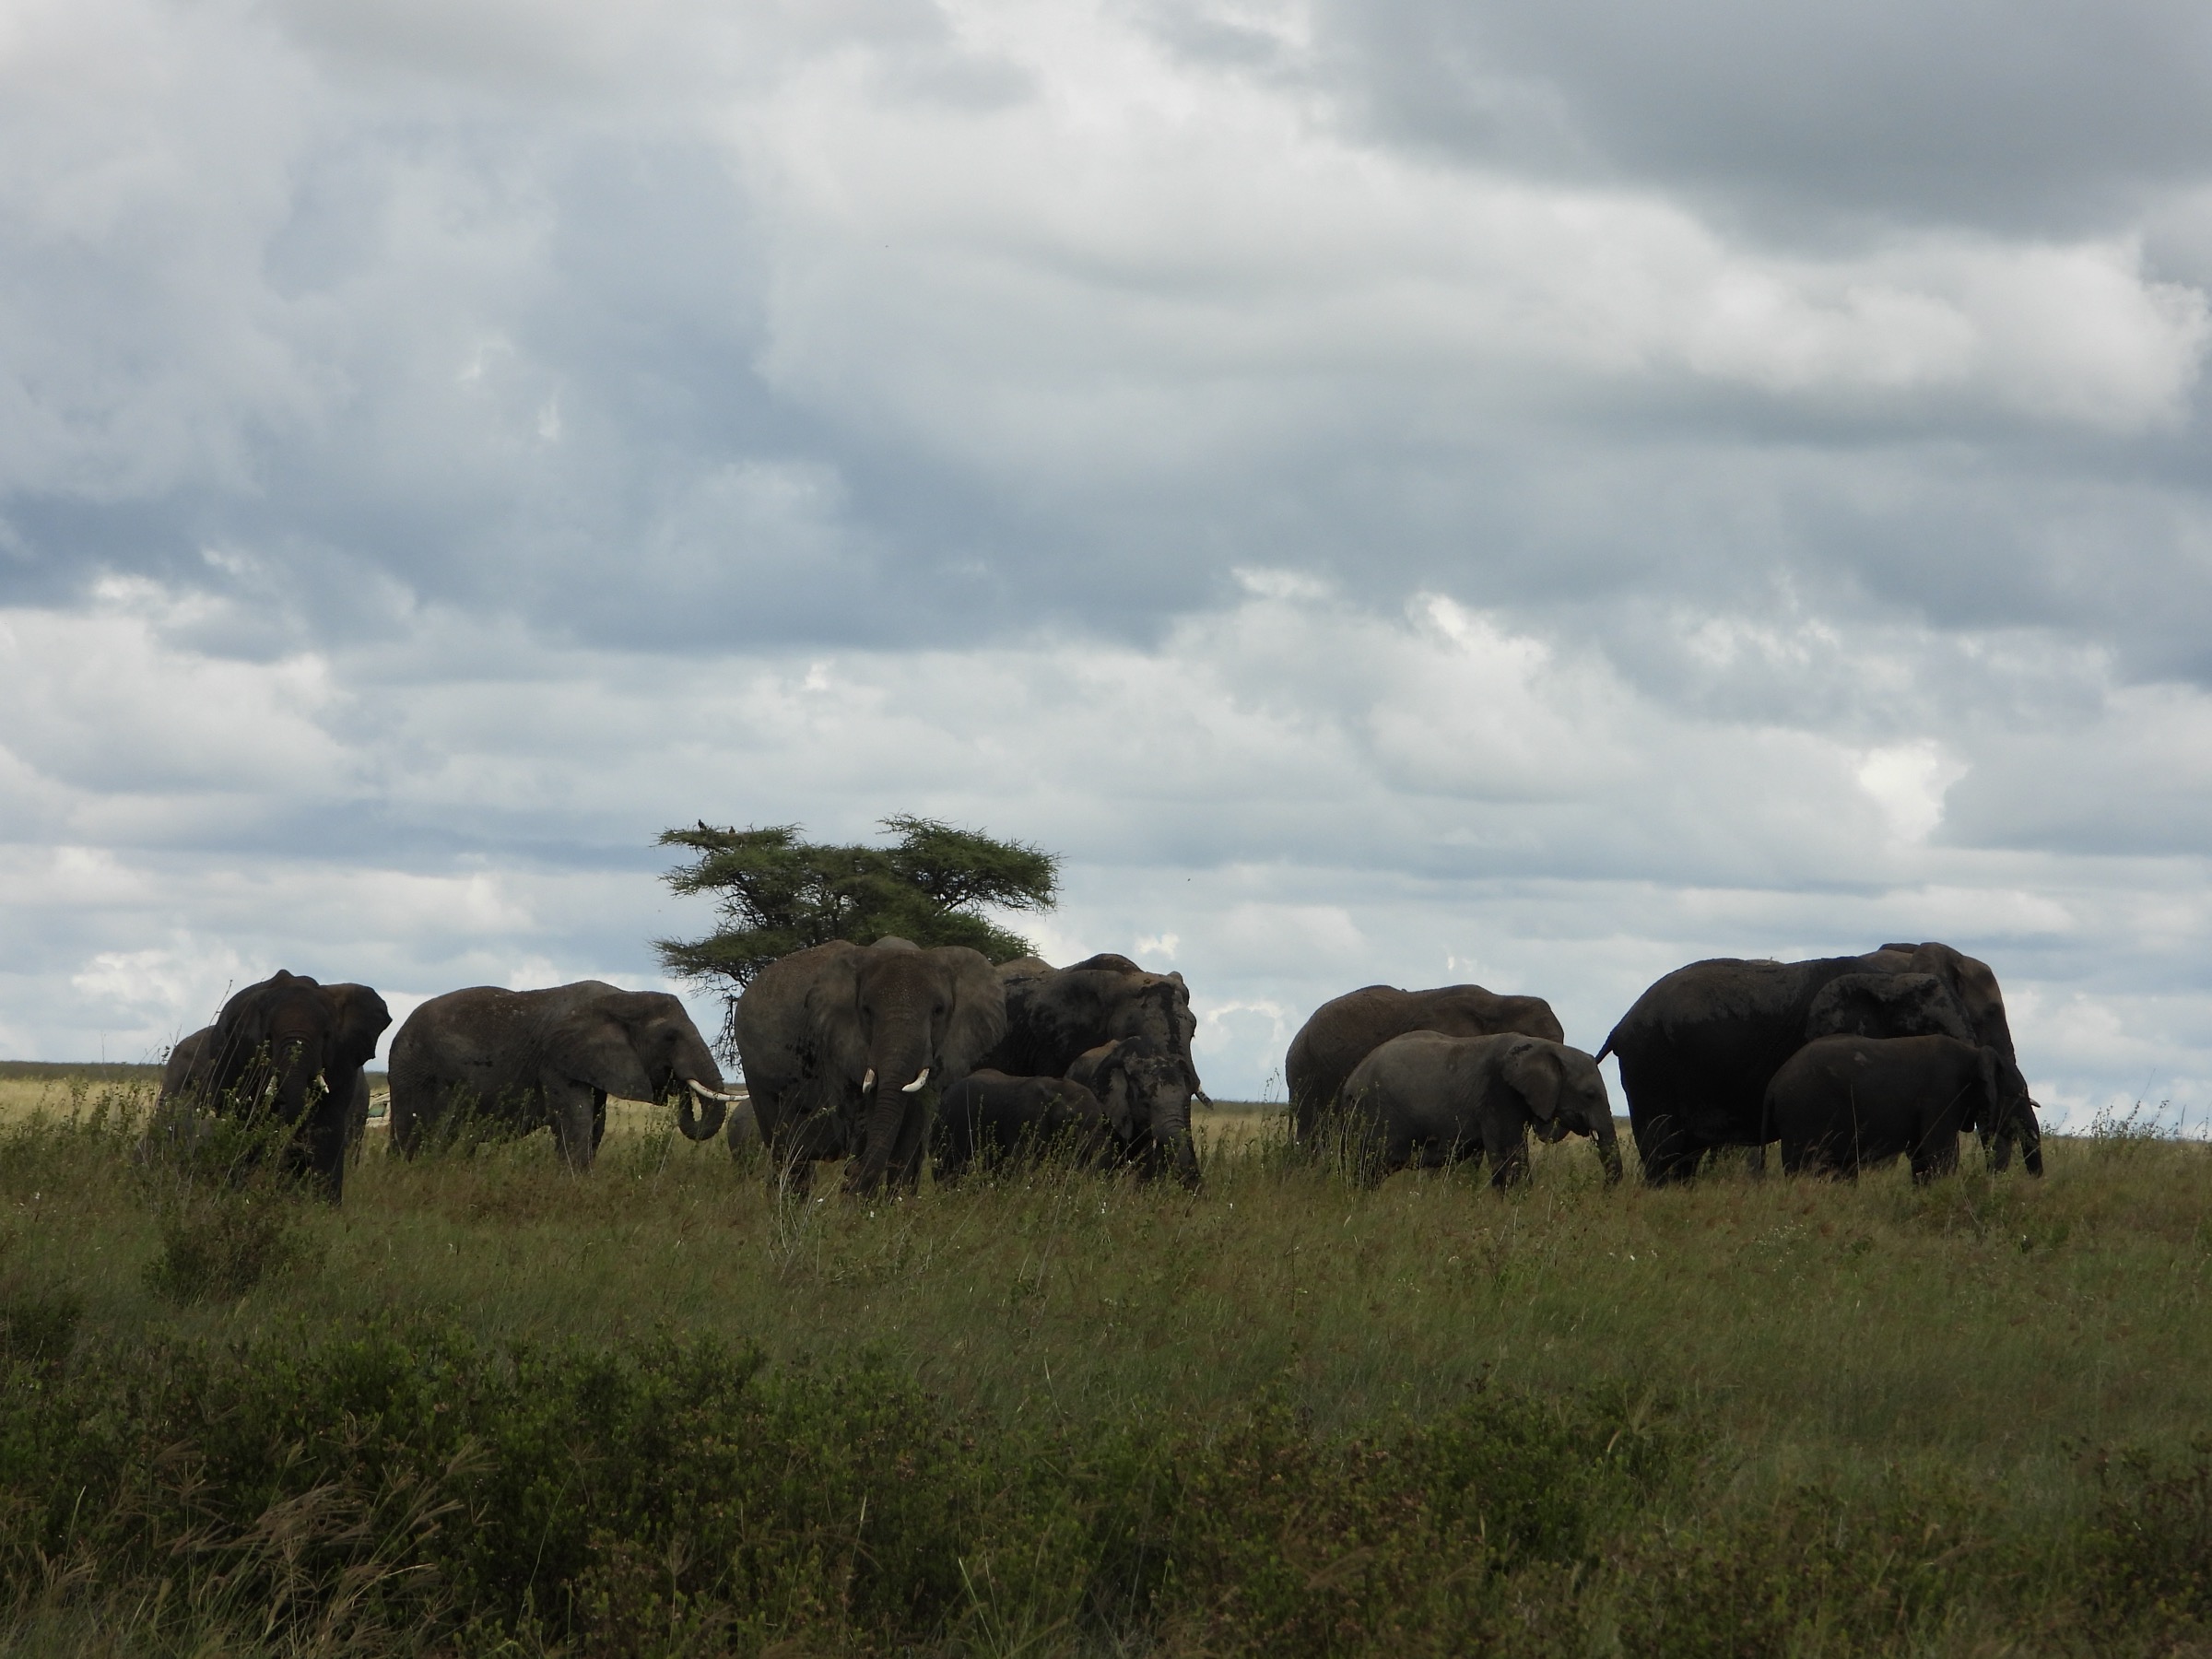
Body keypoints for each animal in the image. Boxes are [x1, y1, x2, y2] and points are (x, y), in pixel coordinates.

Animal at [387, 982, 736, 1170]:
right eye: (670, 1037)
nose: (679, 1082)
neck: (624, 997)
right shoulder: (556, 1061)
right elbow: (575, 1119)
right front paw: (577, 1182)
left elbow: (595, 1123)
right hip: (415, 1071)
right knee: (422, 1132)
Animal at [734, 937, 1006, 1195]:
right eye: (866, 1010)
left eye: (938, 1011)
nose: (847, 1189)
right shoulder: (837, 1049)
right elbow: (864, 1125)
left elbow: (914, 1130)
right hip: (758, 1080)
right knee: (787, 1156)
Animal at [1339, 1031, 1622, 1188]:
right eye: (1590, 1094)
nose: (1605, 1188)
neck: (1543, 1047)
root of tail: (1350, 1081)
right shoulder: (1498, 1095)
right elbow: (1509, 1158)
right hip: (1372, 1114)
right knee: (1365, 1171)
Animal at [1763, 1034, 2031, 1182]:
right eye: (2017, 1095)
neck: (1974, 1053)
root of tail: (1773, 1087)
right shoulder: (1942, 1094)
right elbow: (1939, 1154)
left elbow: (1922, 1155)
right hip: (1803, 1112)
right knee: (1805, 1165)